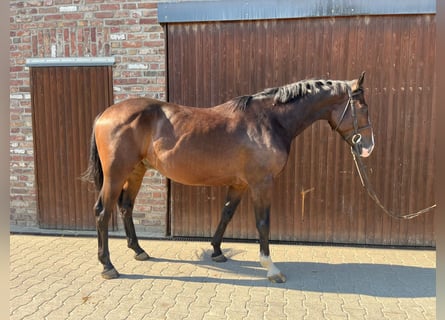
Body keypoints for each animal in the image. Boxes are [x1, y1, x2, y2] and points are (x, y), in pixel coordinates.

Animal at [83, 71, 374, 282]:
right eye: (363, 109)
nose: (368, 147)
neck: (267, 121)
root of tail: (105, 114)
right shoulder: (261, 184)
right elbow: (263, 223)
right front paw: (271, 268)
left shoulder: (240, 185)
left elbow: (226, 214)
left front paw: (217, 251)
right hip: (116, 174)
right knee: (102, 211)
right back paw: (108, 265)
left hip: (136, 170)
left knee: (126, 207)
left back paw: (139, 250)